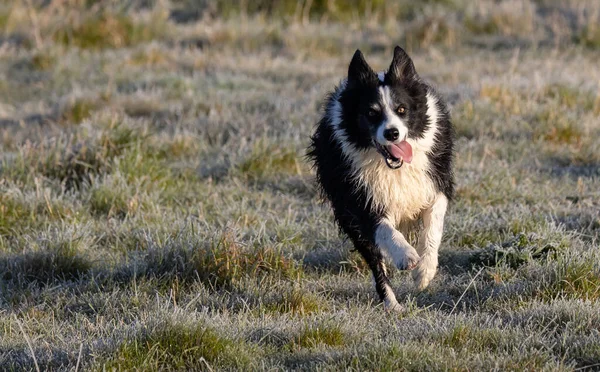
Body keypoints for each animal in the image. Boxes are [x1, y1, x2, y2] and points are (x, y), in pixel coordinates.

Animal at [310, 45, 454, 310]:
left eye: (402, 109)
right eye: (371, 113)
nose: (392, 133)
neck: (393, 168)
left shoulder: (436, 184)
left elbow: (434, 225)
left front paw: (424, 272)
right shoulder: (359, 198)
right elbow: (384, 230)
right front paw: (406, 255)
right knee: (375, 260)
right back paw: (392, 304)